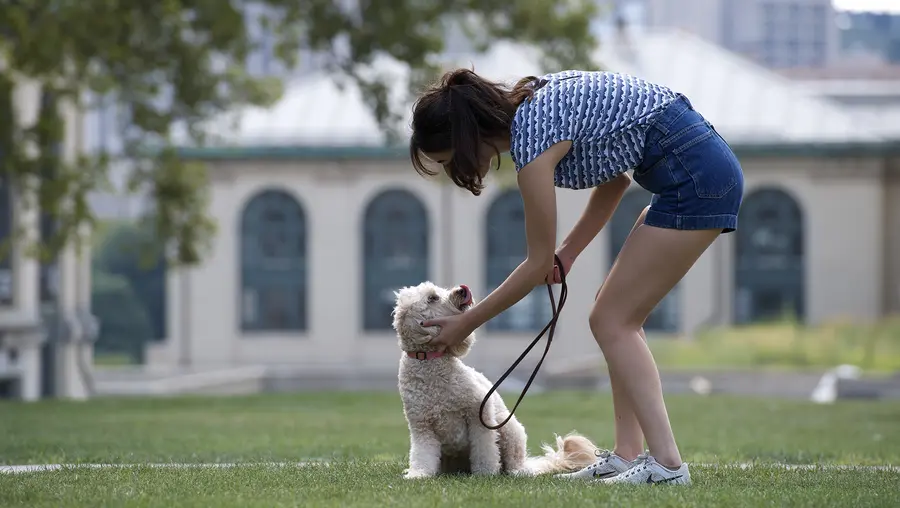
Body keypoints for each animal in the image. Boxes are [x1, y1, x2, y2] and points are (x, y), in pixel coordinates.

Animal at [392, 280, 596, 478]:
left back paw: (517, 472)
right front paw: (418, 474)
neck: (428, 362)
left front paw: (486, 472)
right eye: (432, 298)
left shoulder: (479, 415)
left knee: (514, 460)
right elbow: (422, 454)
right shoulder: (422, 427)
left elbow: (485, 449)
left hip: (508, 428)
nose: (461, 290)